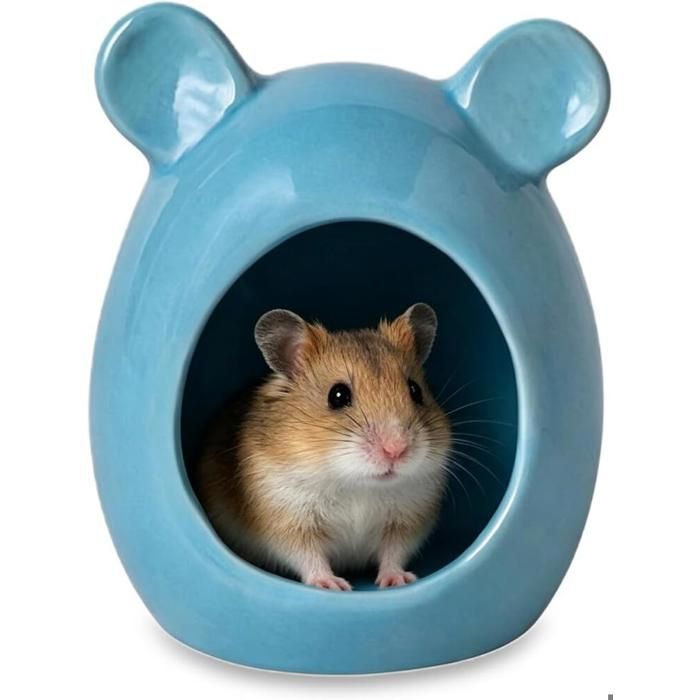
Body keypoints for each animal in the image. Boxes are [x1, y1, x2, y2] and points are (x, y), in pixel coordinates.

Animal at [192, 303, 452, 590]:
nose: (396, 450)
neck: (357, 484)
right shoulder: (288, 520)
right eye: (337, 395)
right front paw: (333, 585)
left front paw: (398, 580)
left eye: (415, 391)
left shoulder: (407, 520)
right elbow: (308, 556)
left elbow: (394, 553)